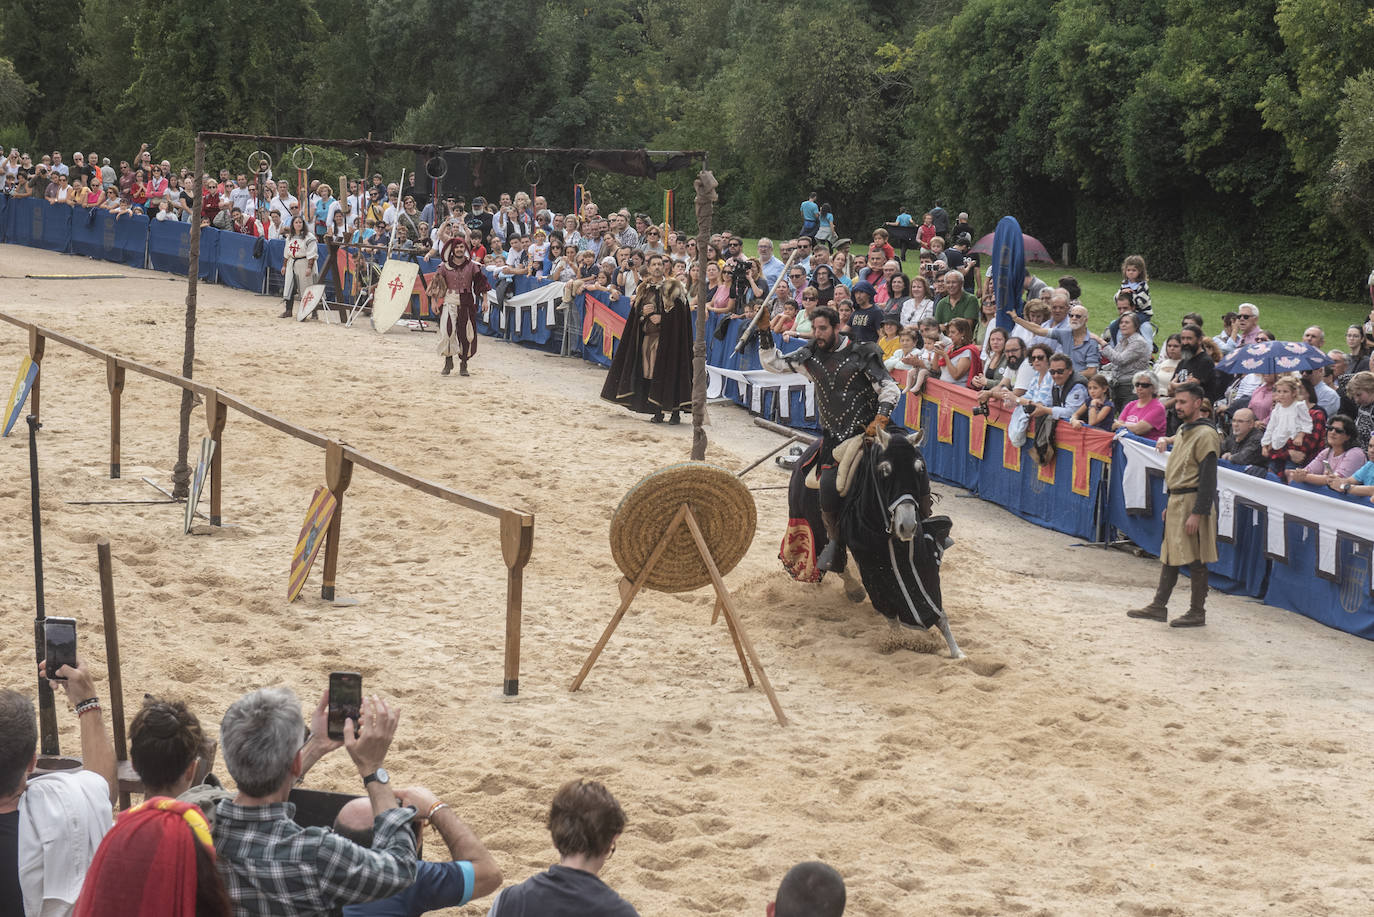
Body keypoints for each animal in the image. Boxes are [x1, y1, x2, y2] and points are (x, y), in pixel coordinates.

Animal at [780, 426, 961, 657]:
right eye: (885, 470)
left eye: (920, 468)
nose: (907, 526)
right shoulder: (870, 559)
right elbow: (886, 603)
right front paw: (897, 641)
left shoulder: (917, 553)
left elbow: (929, 598)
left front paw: (957, 651)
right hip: (814, 528)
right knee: (834, 560)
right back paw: (853, 589)